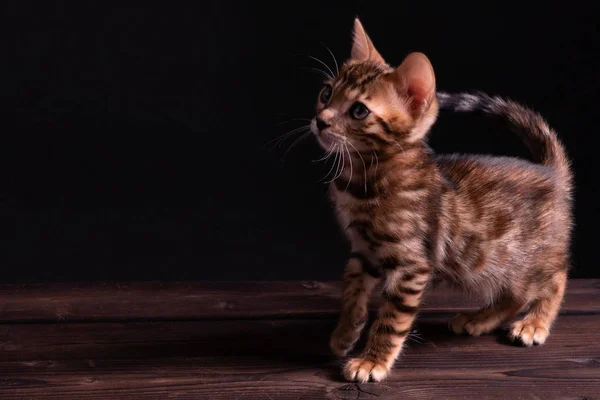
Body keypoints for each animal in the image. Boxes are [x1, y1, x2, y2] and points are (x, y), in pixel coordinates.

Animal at [312, 18, 576, 382]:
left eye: (359, 111)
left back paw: (535, 323)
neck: (364, 179)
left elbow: (391, 320)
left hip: (526, 257)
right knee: (515, 292)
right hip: (492, 264)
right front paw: (344, 332)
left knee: (555, 278)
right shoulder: (363, 250)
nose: (320, 120)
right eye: (326, 93)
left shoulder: (412, 265)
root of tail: (552, 172)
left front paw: (371, 360)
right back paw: (480, 319)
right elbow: (351, 292)